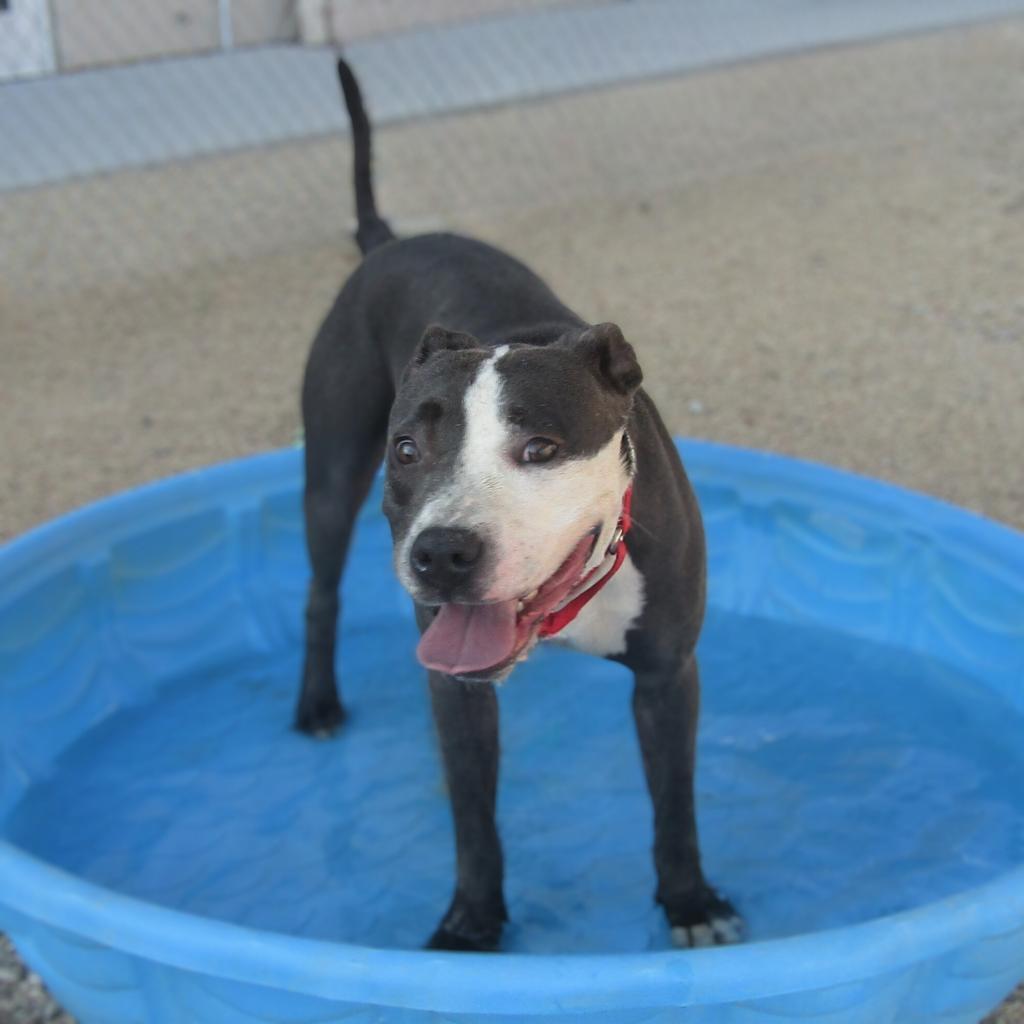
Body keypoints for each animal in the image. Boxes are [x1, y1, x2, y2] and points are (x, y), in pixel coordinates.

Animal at [292, 56, 741, 950]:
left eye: (540, 448)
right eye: (408, 451)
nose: (441, 554)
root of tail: (394, 243)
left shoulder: (667, 676)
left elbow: (674, 805)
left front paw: (689, 901)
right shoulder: (459, 691)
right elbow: (474, 821)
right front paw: (471, 924)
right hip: (328, 478)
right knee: (321, 591)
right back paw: (317, 701)